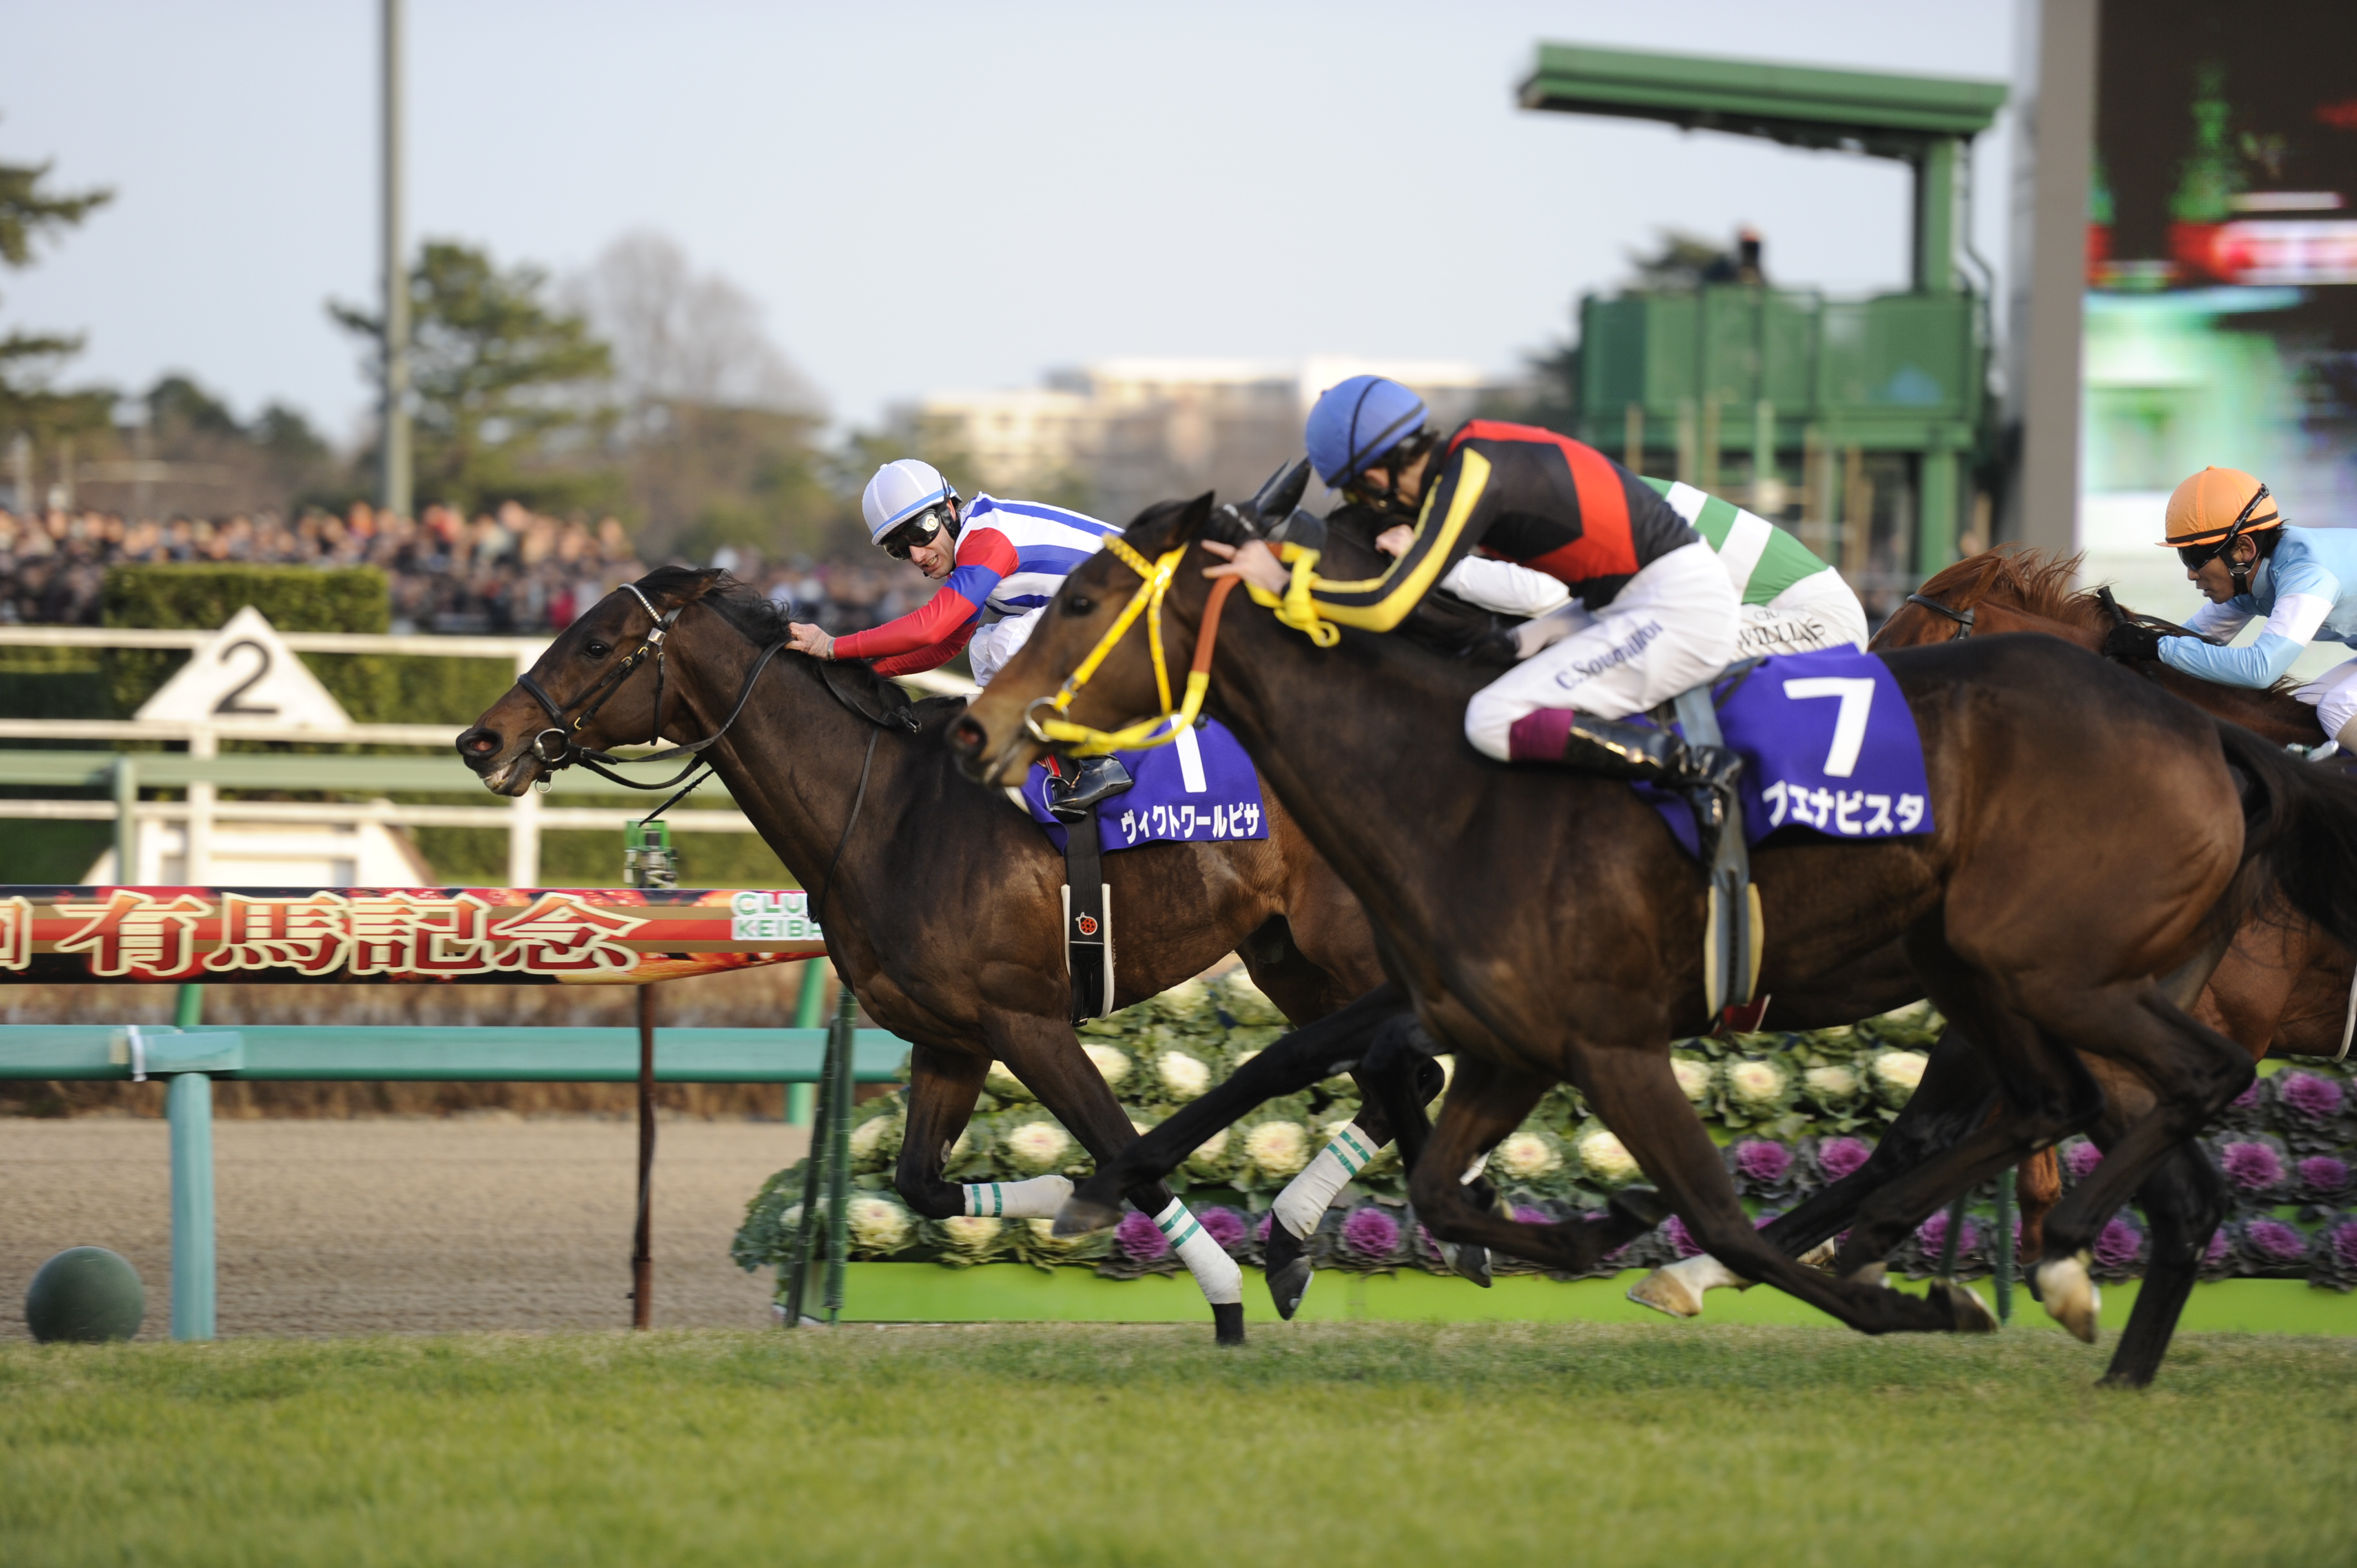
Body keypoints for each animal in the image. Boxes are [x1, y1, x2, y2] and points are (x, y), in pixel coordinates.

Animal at [956, 493, 2357, 1386]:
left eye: (1085, 598)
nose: (981, 726)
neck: (1453, 775)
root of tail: (2203, 743)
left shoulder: (1592, 1033)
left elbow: (1715, 1206)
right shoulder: (1502, 1033)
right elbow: (1414, 1152)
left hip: (2051, 969)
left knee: (2155, 1102)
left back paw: (2048, 1271)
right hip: (2008, 975)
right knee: (2087, 1120)